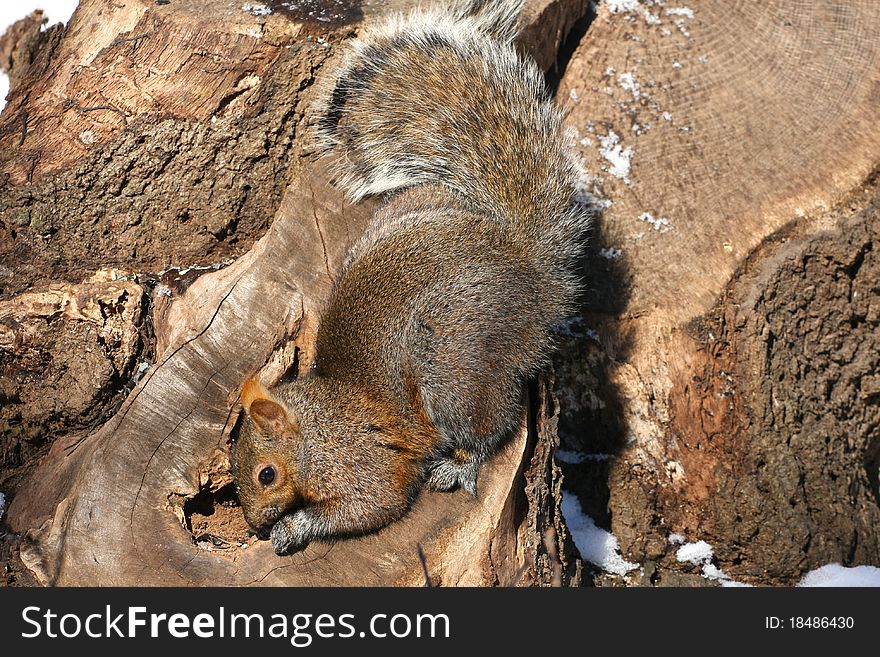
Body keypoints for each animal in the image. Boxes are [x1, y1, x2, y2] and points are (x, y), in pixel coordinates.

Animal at [234, 0, 592, 552]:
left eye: (266, 475)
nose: (252, 524)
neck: (318, 427)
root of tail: (528, 270)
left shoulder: (363, 466)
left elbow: (371, 505)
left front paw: (291, 528)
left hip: (453, 367)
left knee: (492, 425)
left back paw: (458, 466)